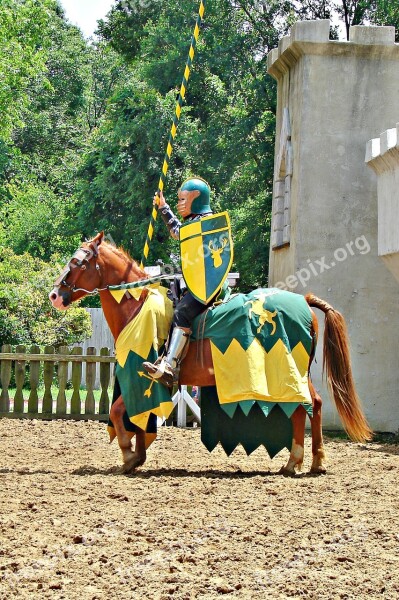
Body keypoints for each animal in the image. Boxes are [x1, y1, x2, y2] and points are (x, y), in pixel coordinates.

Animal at [49, 233, 372, 474]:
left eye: (77, 262)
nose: (54, 295)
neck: (137, 305)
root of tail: (304, 301)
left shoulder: (140, 376)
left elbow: (118, 412)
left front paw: (129, 456)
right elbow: (140, 415)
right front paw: (138, 454)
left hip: (291, 371)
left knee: (307, 406)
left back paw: (303, 461)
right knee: (308, 406)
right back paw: (304, 462)